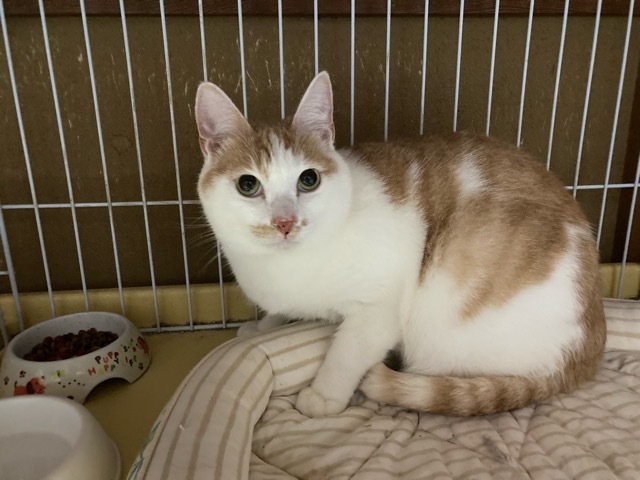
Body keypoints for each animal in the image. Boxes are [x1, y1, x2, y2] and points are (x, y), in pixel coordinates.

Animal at [195, 72, 606, 417]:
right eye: (248, 185)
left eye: (308, 179)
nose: (284, 222)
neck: (285, 268)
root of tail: (588, 349)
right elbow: (280, 314)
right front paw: (263, 327)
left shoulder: (378, 309)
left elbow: (346, 351)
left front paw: (324, 395)